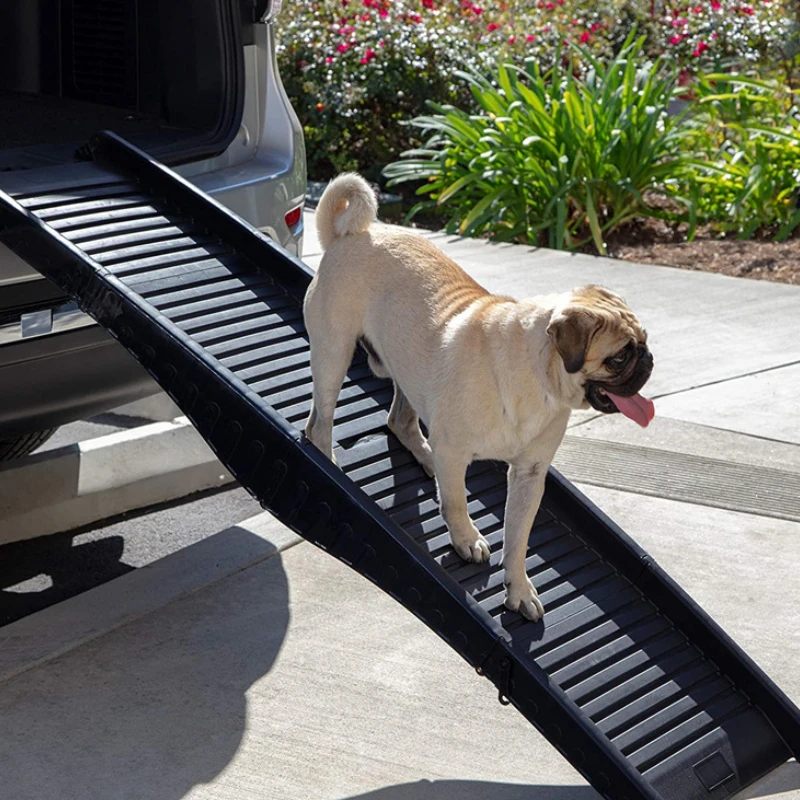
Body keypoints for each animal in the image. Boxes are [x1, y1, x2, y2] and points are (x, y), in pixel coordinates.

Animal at [304, 173, 652, 624]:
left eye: (644, 343)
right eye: (620, 357)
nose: (648, 360)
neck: (538, 379)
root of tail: (348, 235)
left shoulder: (529, 475)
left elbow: (518, 539)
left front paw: (518, 589)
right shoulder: (456, 450)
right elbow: (455, 503)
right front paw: (465, 538)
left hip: (409, 369)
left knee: (399, 421)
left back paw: (425, 455)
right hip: (334, 354)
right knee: (319, 423)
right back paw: (329, 460)